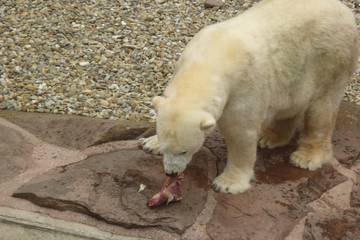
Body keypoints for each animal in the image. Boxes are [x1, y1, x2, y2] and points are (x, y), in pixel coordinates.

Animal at [141, 0, 358, 193]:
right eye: (167, 148)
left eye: (184, 151)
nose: (171, 173)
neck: (209, 60)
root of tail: (345, 10)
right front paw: (150, 143)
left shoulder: (242, 88)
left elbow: (240, 134)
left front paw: (228, 183)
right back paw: (269, 138)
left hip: (330, 59)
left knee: (321, 109)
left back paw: (306, 157)